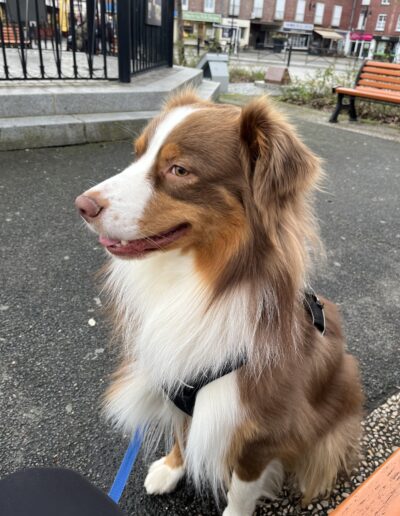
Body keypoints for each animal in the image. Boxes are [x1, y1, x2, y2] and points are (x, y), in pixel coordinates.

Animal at [75, 91, 363, 515]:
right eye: (137, 154)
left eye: (179, 170)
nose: (82, 205)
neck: (198, 281)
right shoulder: (177, 379)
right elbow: (181, 433)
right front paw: (171, 468)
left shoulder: (260, 429)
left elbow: (242, 488)